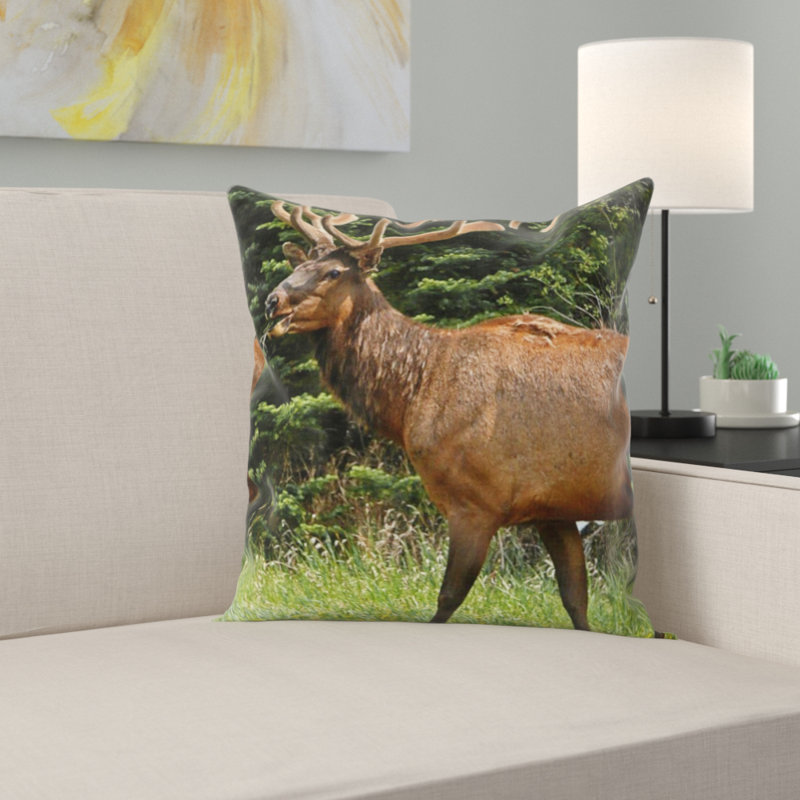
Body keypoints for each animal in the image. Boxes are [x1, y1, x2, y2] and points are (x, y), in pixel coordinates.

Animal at [262, 201, 633, 630]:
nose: (272, 301)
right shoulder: (551, 507)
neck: (413, 396)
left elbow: (447, 598)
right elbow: (576, 600)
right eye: (301, 262)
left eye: (334, 272)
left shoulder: (477, 502)